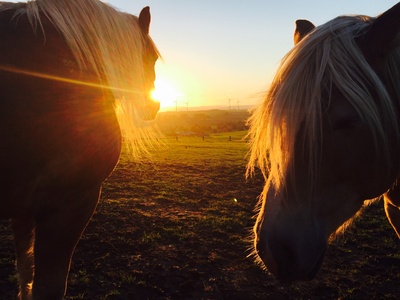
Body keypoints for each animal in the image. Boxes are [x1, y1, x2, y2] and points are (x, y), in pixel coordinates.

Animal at [0, 1, 159, 298]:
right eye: (152, 58)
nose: (153, 106)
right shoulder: (71, 202)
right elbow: (47, 286)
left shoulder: (23, 208)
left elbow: (25, 273)